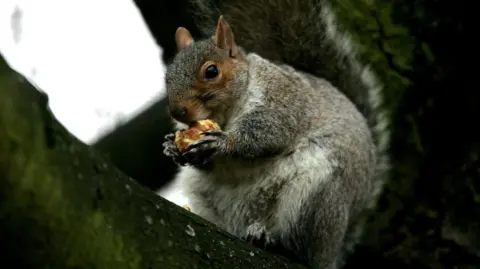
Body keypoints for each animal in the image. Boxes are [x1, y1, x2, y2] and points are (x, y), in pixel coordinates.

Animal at [161, 0, 390, 266]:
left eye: (211, 71)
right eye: (168, 77)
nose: (178, 111)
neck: (226, 113)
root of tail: (332, 253)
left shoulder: (282, 101)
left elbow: (268, 134)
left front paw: (222, 143)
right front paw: (171, 147)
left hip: (315, 199)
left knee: (301, 248)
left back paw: (271, 241)